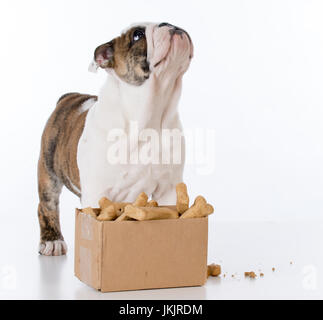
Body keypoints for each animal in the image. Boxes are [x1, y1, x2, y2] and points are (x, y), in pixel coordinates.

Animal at [38, 21, 195, 255]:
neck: (152, 113)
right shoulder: (96, 192)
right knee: (46, 206)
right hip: (48, 173)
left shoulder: (169, 188)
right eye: (137, 35)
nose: (169, 24)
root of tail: (68, 97)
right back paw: (52, 240)